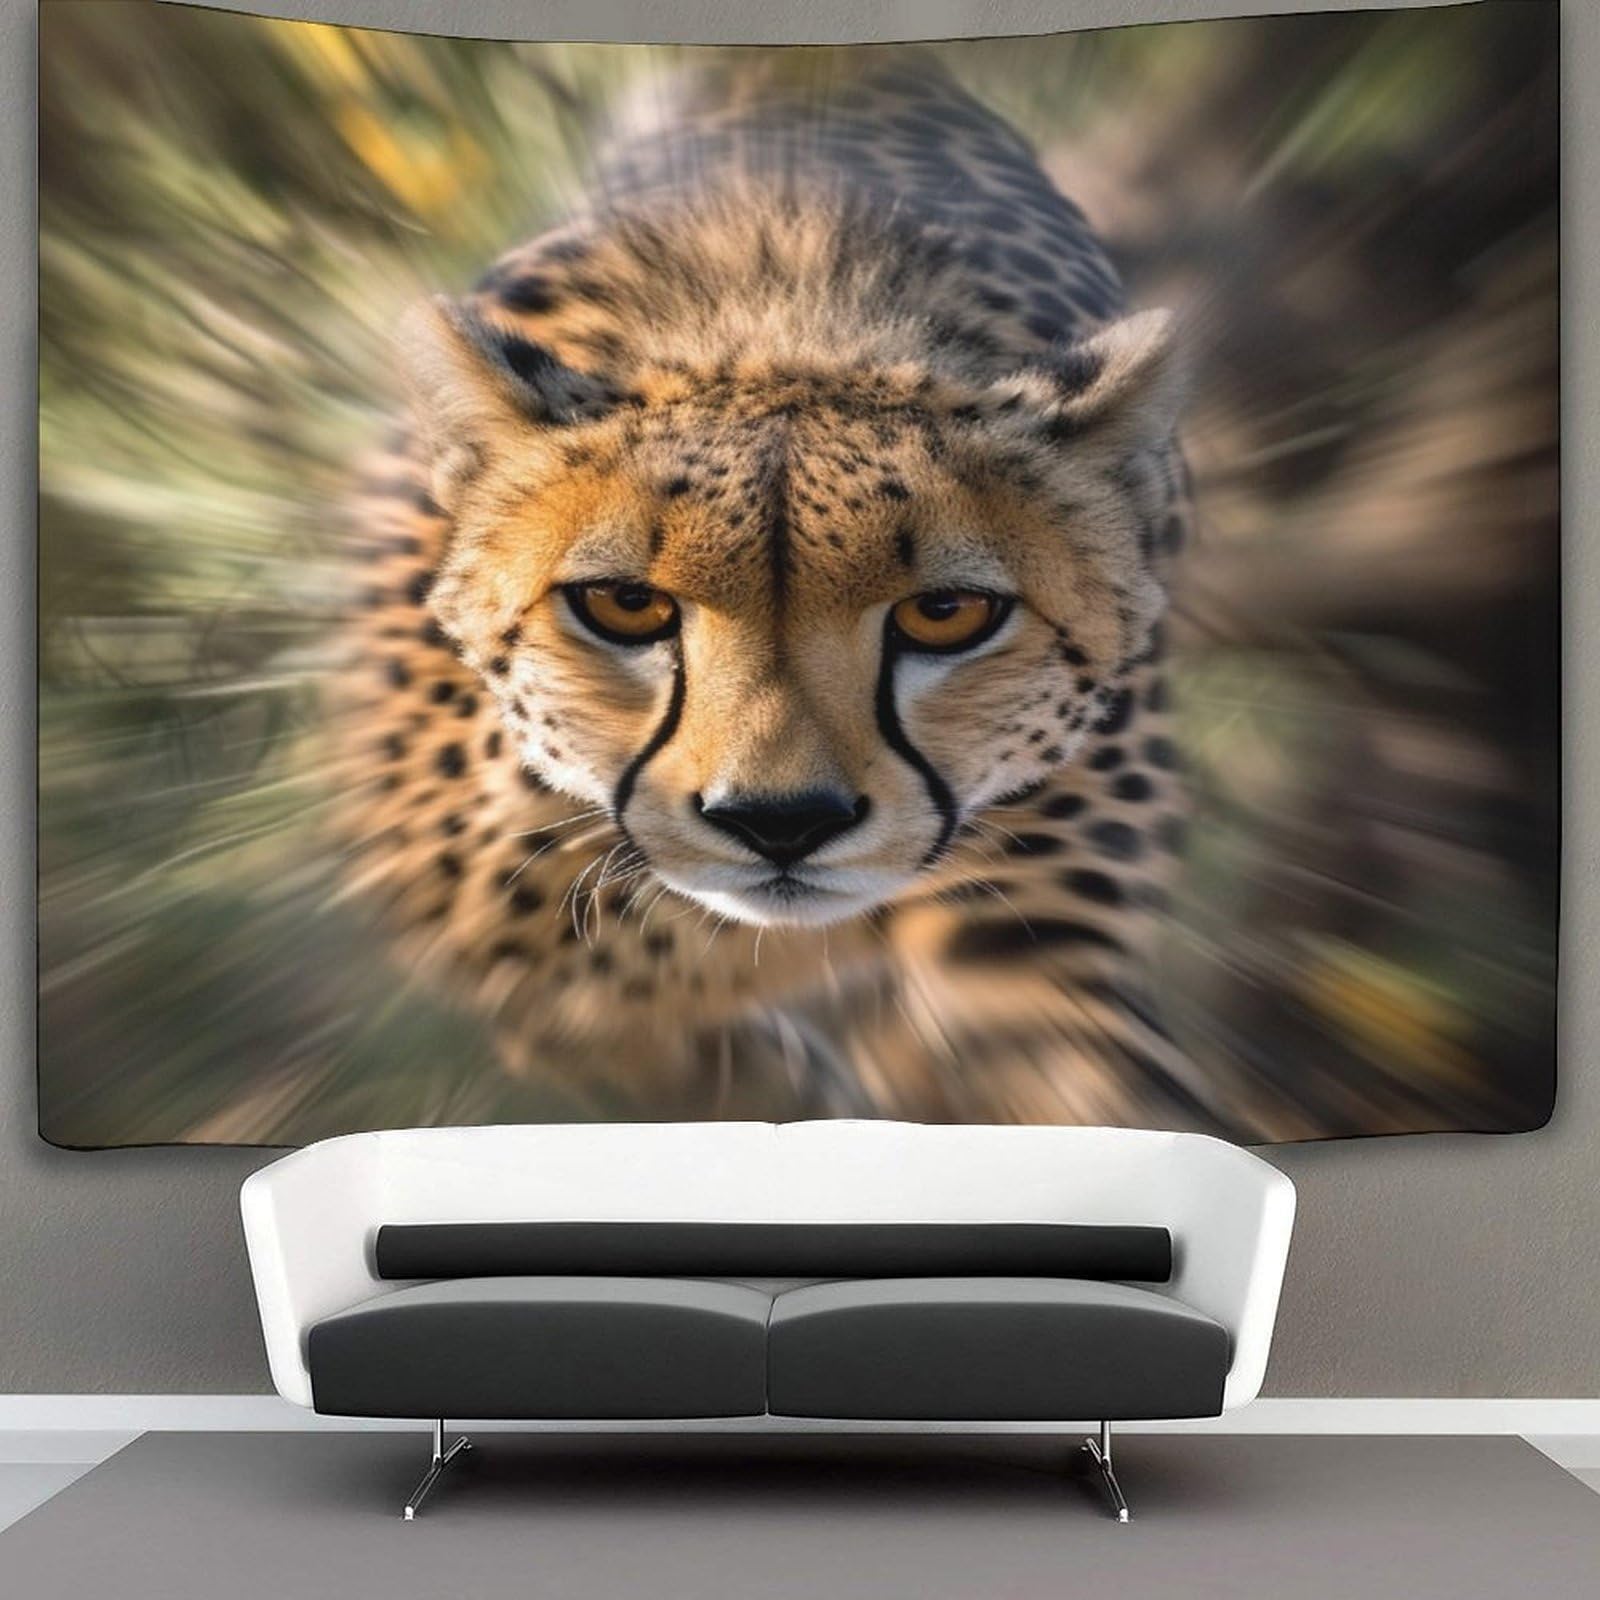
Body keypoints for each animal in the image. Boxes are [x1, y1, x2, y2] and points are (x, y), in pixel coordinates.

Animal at [330, 49, 1210, 1127]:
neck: (783, 327)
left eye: (946, 613)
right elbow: (550, 967)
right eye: (623, 604)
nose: (781, 824)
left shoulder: (1029, 948)